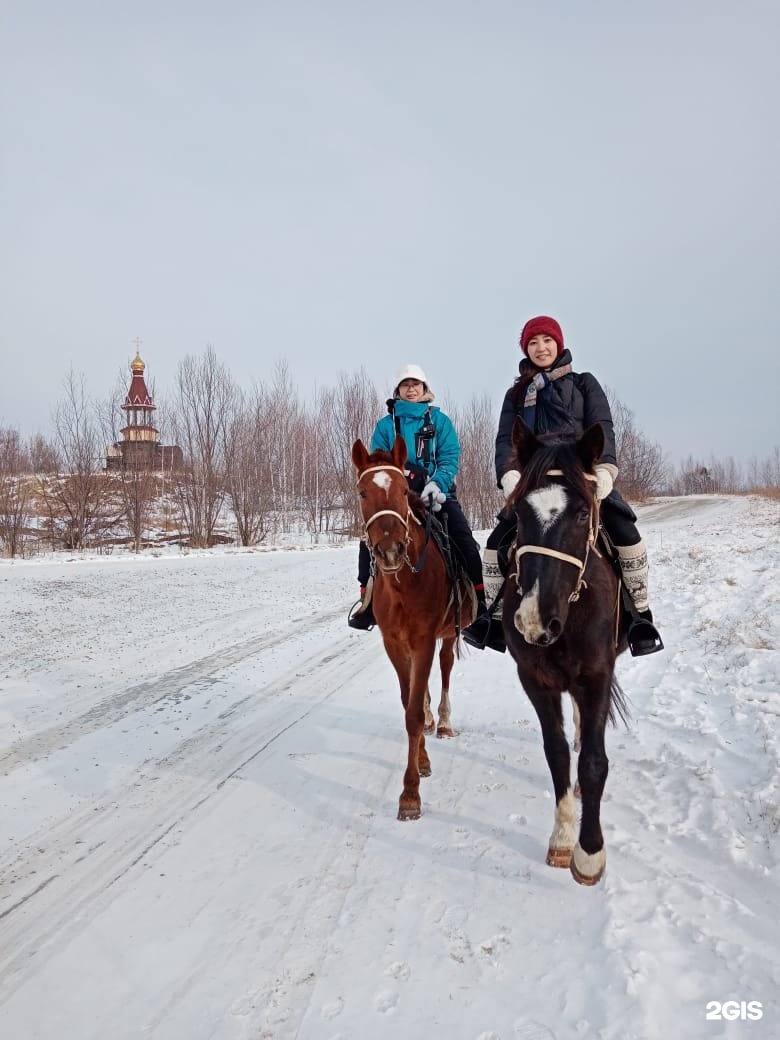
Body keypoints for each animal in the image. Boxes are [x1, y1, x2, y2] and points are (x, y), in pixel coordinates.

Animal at [353, 434, 474, 815]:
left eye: (405, 490)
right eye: (362, 493)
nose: (390, 550)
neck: (403, 583)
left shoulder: (424, 640)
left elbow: (413, 716)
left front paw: (409, 793)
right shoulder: (394, 644)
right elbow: (410, 705)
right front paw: (421, 762)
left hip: (447, 634)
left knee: (446, 667)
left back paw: (444, 722)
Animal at [503, 418, 632, 881]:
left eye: (580, 514)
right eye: (518, 513)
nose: (534, 620)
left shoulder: (597, 675)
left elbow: (594, 762)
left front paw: (589, 852)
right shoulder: (535, 680)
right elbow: (556, 754)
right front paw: (562, 839)